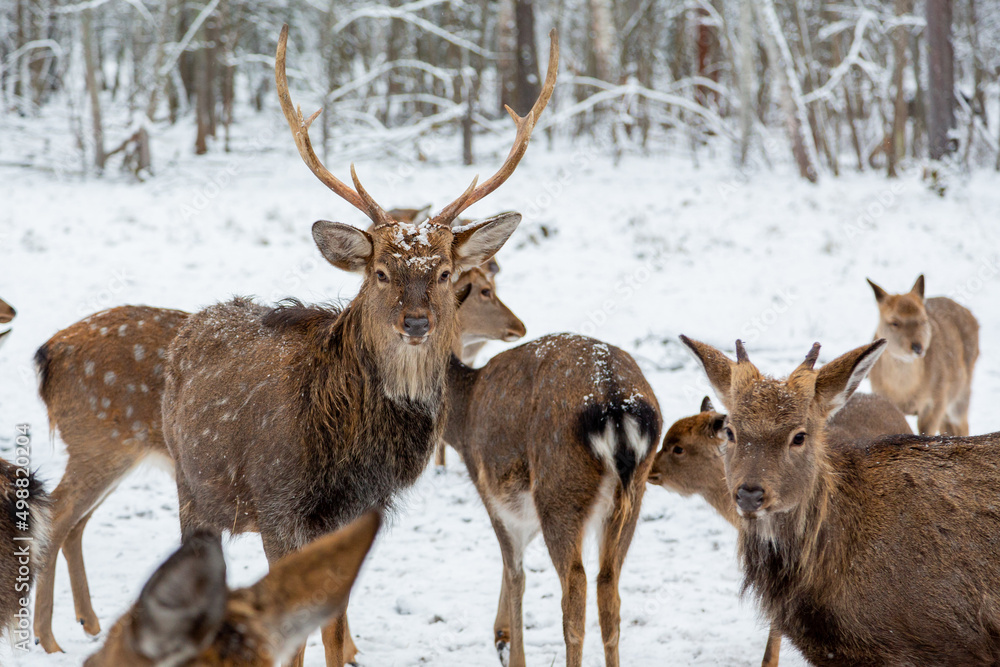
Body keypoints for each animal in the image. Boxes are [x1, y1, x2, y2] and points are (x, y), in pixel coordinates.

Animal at [159, 24, 557, 667]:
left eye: (444, 272)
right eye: (380, 272)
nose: (416, 323)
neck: (346, 448)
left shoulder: (356, 517)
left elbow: (335, 631)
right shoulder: (280, 509)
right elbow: (294, 634)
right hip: (190, 487)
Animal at [443, 332, 661, 667]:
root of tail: (615, 406)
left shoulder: (494, 497)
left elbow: (515, 573)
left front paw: (510, 650)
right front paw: (502, 637)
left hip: (559, 492)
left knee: (575, 588)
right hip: (633, 496)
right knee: (609, 586)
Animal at [867, 274, 979, 435]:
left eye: (923, 320)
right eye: (894, 322)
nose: (917, 347)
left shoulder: (937, 400)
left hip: (961, 391)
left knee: (962, 424)